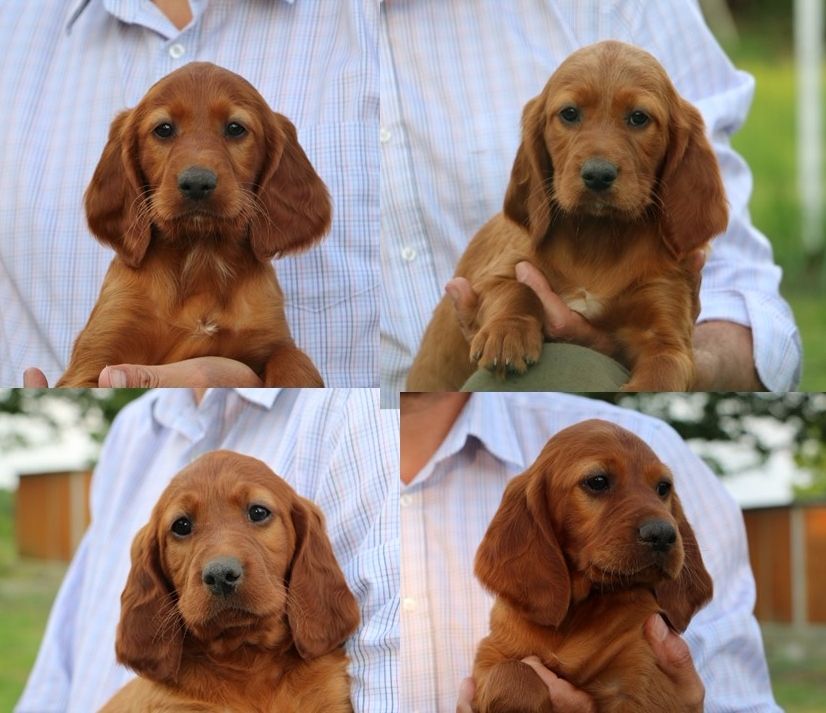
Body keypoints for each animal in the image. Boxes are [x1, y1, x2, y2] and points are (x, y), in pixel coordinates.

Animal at [58, 63, 328, 386]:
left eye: (235, 128)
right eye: (163, 129)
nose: (197, 183)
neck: (201, 255)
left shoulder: (270, 339)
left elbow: (294, 360)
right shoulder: (93, 360)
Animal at [408, 40, 728, 390]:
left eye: (639, 118)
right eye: (570, 113)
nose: (598, 175)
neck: (597, 236)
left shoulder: (666, 329)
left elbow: (662, 373)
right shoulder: (501, 270)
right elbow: (515, 289)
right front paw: (508, 333)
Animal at [474, 420, 712, 708]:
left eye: (663, 487)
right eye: (598, 481)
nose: (663, 534)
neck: (578, 610)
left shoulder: (641, 677)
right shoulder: (491, 654)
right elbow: (513, 673)